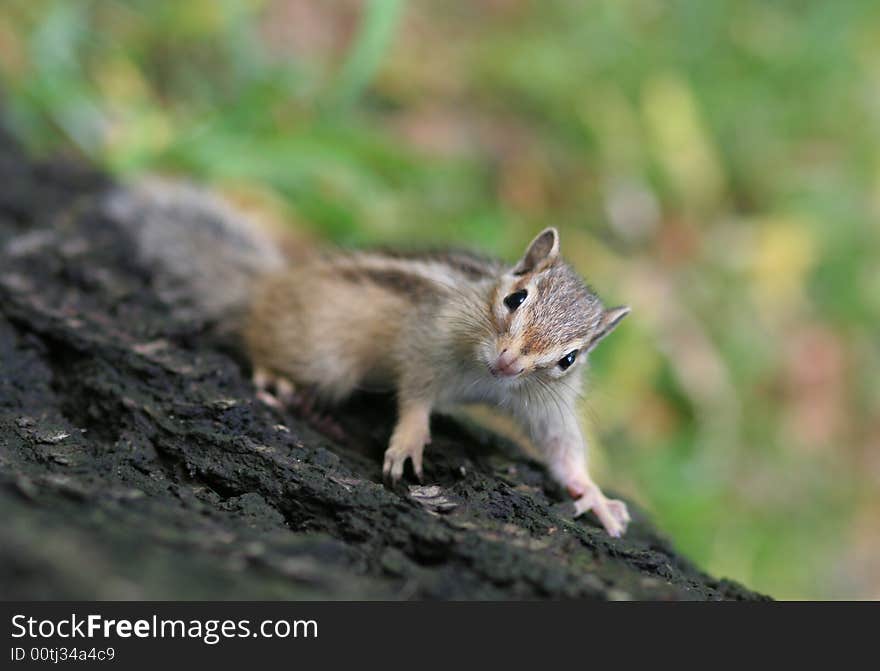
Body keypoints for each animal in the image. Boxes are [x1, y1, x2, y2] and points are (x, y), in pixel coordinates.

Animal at [106, 178, 632, 536]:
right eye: (516, 298)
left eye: (568, 359)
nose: (508, 363)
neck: (489, 379)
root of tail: (267, 286)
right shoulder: (427, 342)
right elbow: (415, 392)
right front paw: (410, 439)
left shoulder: (546, 403)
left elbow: (561, 447)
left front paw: (595, 495)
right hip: (324, 360)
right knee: (256, 343)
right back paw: (277, 379)